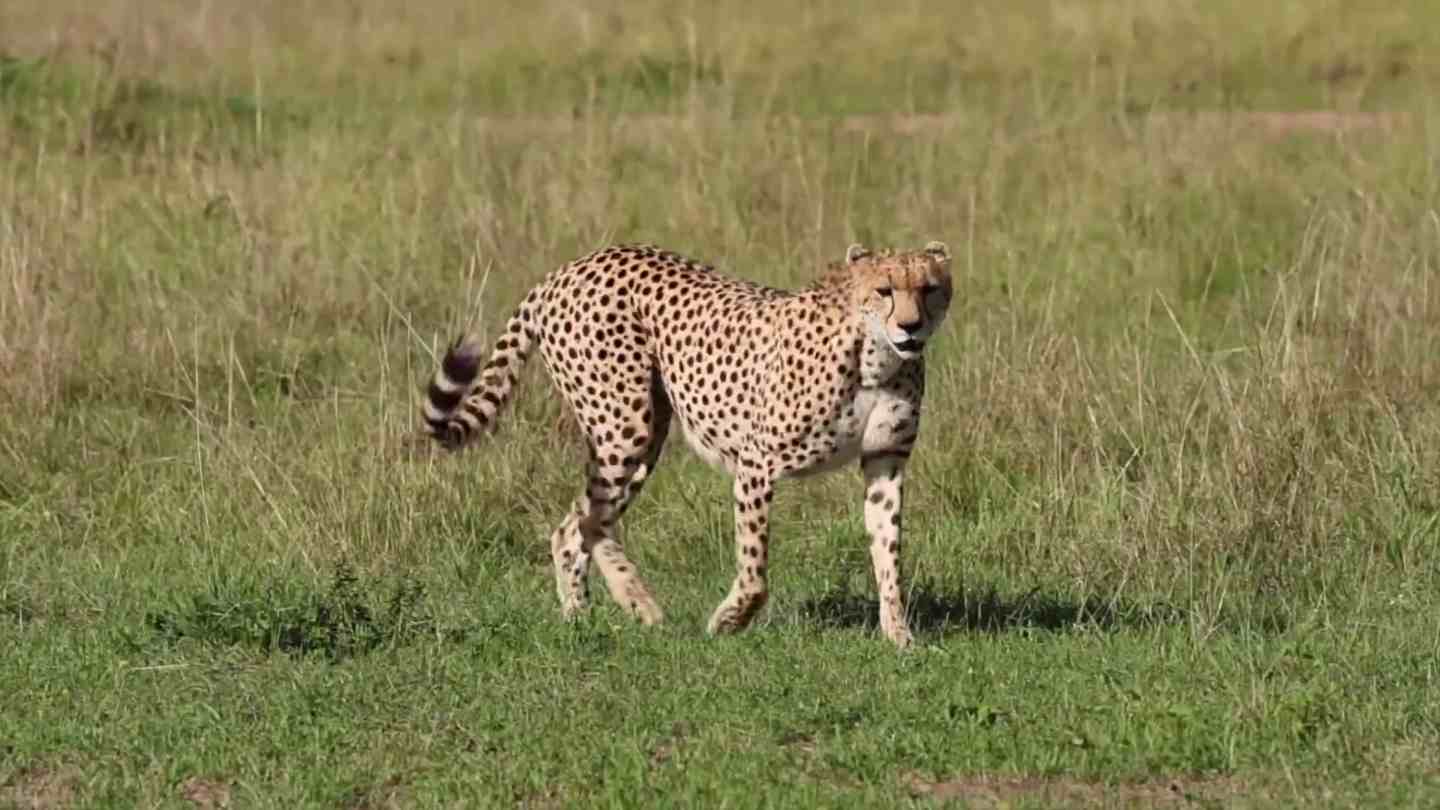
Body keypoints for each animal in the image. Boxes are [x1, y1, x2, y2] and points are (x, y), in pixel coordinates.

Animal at [421, 241, 953, 647]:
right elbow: (755, 569)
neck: (875, 357)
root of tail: (572, 265)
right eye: (884, 290)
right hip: (625, 424)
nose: (911, 327)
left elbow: (888, 553)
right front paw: (728, 620)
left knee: (581, 523)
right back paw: (614, 607)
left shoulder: (885, 460)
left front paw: (899, 635)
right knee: (582, 523)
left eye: (929, 289)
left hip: (643, 435)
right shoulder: (756, 463)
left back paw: (604, 611)